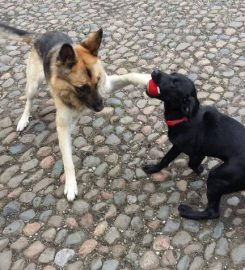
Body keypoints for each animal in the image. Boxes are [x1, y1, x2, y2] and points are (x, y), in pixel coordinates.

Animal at [0, 23, 150, 200]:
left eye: (97, 81)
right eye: (82, 87)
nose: (101, 107)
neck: (74, 95)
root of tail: (40, 35)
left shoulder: (106, 87)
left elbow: (129, 75)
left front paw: (148, 78)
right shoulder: (62, 127)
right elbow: (67, 161)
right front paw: (71, 184)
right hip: (33, 85)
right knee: (29, 101)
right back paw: (23, 119)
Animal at [143, 69, 245, 219]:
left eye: (175, 83)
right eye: (173, 73)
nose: (155, 71)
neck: (183, 118)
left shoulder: (197, 153)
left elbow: (190, 163)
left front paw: (199, 170)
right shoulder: (177, 147)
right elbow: (165, 159)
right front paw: (154, 168)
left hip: (216, 177)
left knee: (212, 213)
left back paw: (187, 212)